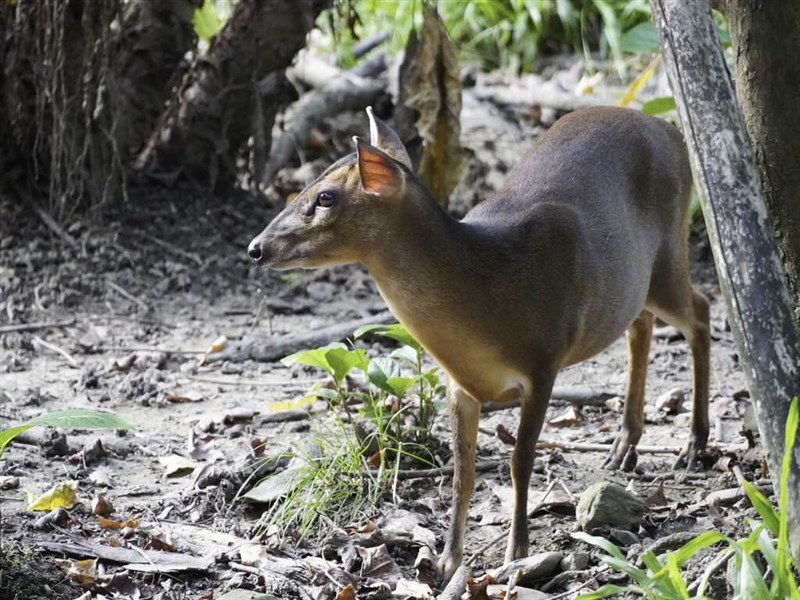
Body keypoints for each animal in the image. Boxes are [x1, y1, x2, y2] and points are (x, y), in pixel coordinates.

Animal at [247, 108, 708, 580]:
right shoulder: (458, 385)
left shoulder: (544, 361)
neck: (488, 297)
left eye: (325, 197)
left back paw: (693, 445)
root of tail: (669, 130)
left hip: (668, 253)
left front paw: (516, 553)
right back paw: (624, 445)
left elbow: (520, 462)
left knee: (701, 313)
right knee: (642, 323)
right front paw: (447, 561)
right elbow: (462, 472)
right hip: (633, 283)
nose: (256, 248)